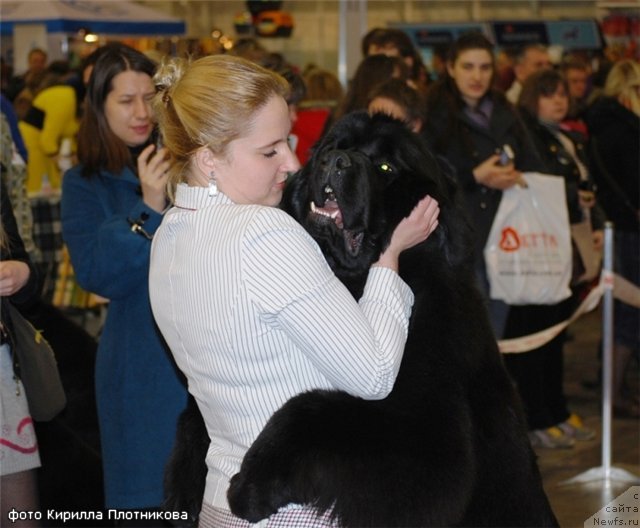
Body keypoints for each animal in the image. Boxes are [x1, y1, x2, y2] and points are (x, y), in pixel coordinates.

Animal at [164, 112, 556, 528]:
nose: (335, 161)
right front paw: (184, 492)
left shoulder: (428, 436)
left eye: (385, 167)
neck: (353, 278)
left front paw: (249, 486)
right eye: (333, 146)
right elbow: (193, 421)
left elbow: (306, 409)